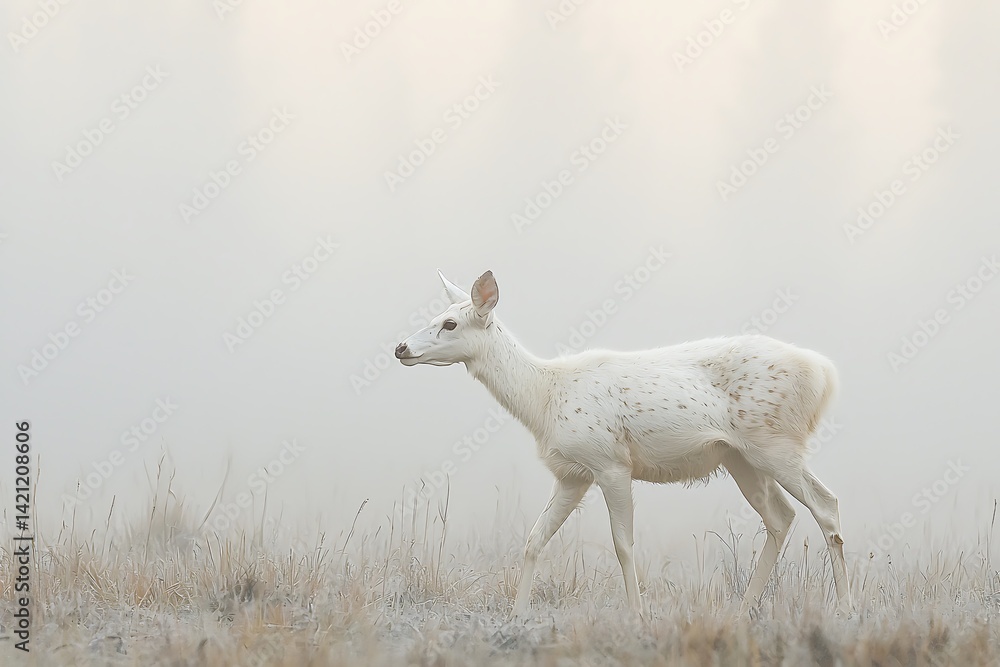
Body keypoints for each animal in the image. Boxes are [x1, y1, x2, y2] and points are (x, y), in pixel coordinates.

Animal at [395, 269, 852, 616]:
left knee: (826, 504)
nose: (401, 347)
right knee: (781, 516)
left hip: (775, 443)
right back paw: (744, 610)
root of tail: (824, 375)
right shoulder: (572, 474)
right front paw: (517, 615)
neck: (543, 400)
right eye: (437, 315)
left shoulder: (611, 462)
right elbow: (534, 539)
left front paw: (638, 613)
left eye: (450, 323)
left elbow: (623, 544)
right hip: (742, 458)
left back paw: (844, 608)